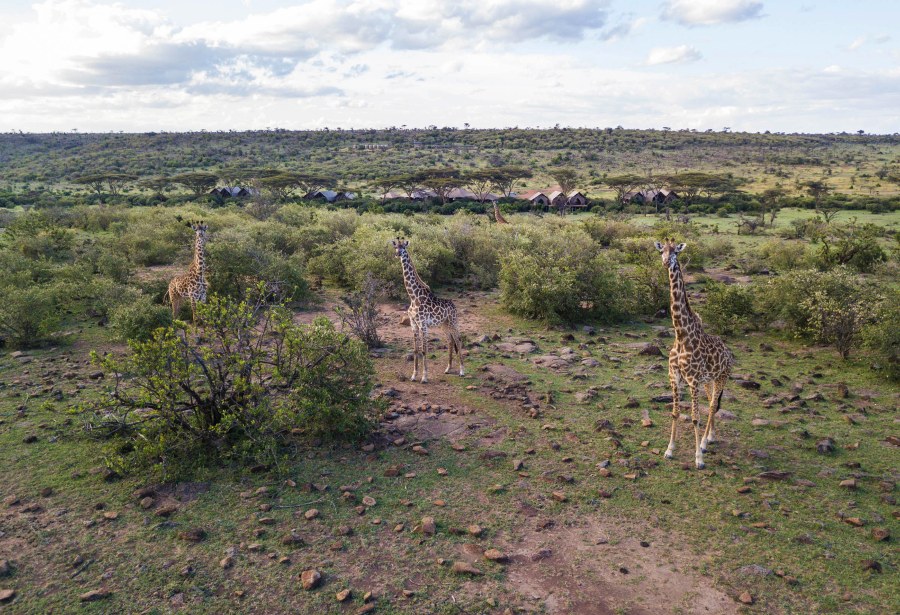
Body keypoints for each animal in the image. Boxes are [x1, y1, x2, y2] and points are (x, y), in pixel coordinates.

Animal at [391, 238, 464, 383]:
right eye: (396, 247)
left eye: (403, 248)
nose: (397, 254)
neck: (413, 297)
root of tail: (454, 306)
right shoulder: (414, 324)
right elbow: (415, 350)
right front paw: (414, 376)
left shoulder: (423, 325)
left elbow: (424, 350)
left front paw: (424, 377)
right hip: (444, 325)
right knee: (450, 341)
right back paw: (448, 369)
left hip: (453, 322)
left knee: (458, 340)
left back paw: (462, 371)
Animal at [655, 238, 735, 469]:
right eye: (661, 251)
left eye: (676, 252)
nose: (666, 262)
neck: (681, 335)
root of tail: (728, 353)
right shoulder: (674, 377)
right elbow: (675, 412)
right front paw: (669, 450)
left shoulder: (692, 380)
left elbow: (694, 417)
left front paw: (698, 458)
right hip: (708, 381)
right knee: (711, 404)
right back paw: (710, 438)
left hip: (722, 377)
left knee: (712, 405)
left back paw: (705, 444)